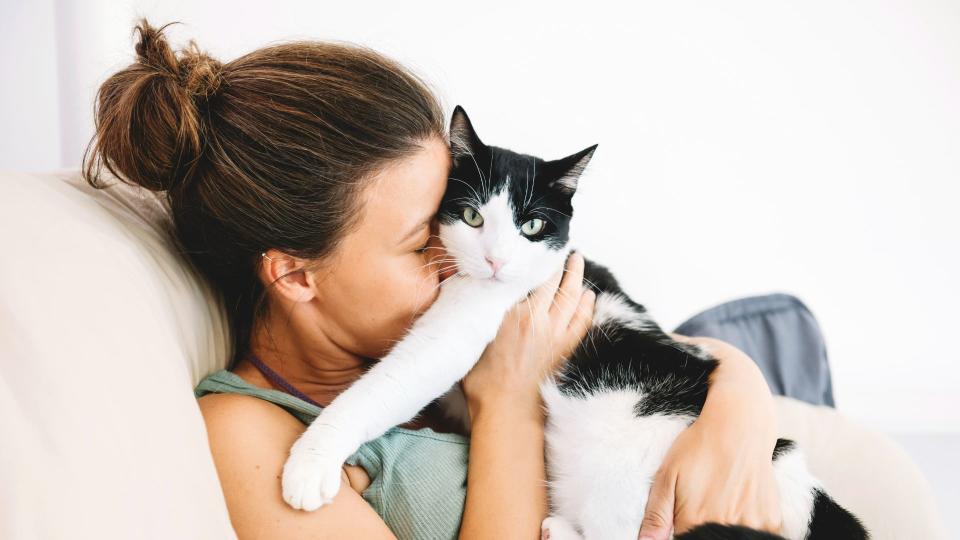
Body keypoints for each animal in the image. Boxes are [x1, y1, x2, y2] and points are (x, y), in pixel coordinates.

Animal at [280, 106, 872, 540]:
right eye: (471, 216)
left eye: (532, 226)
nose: (496, 261)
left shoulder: (462, 327)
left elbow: (388, 384)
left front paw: (310, 462)